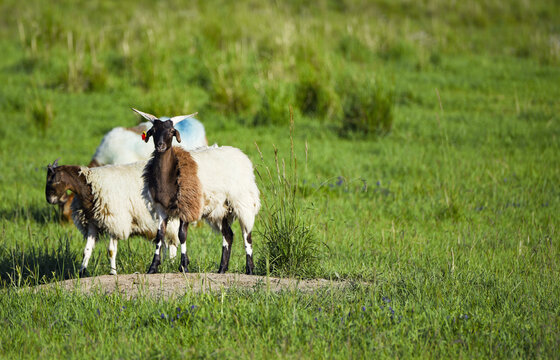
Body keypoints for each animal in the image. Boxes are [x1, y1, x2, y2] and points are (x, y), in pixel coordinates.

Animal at [46, 158, 182, 276]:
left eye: (52, 180)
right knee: (166, 245)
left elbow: (111, 251)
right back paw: (165, 265)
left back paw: (170, 265)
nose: (49, 200)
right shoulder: (92, 224)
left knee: (172, 245)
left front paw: (113, 272)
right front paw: (81, 272)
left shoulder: (114, 221)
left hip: (171, 222)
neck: (90, 185)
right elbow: (87, 251)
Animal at [132, 108, 262, 274]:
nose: (160, 146)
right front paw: (153, 267)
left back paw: (249, 268)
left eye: (171, 132)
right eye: (154, 130)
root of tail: (241, 155)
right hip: (221, 208)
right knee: (228, 235)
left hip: (242, 201)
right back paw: (222, 269)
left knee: (247, 234)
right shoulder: (161, 208)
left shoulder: (187, 206)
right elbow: (159, 235)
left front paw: (184, 266)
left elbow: (182, 235)